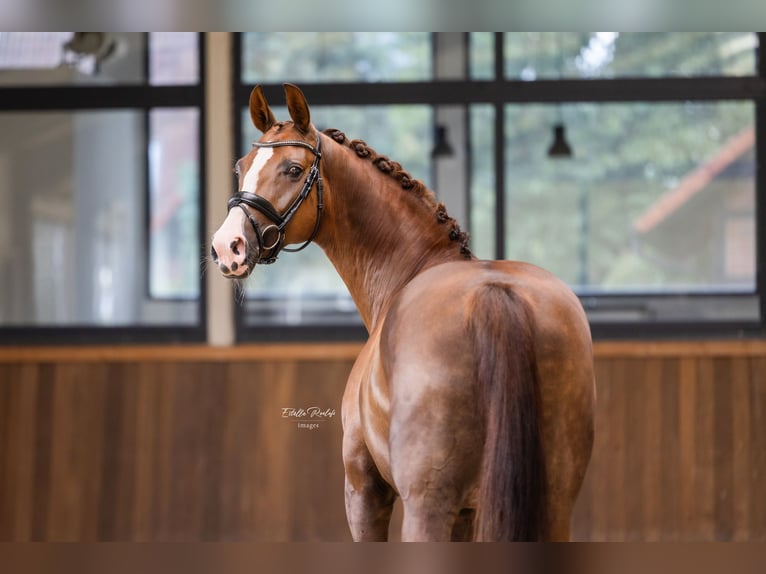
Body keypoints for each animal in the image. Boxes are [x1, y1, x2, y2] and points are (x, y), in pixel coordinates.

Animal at [213, 83, 596, 544]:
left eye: (292, 169)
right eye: (241, 167)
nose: (228, 246)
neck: (414, 268)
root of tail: (494, 294)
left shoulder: (364, 491)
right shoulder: (468, 514)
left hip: (426, 505)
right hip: (552, 503)